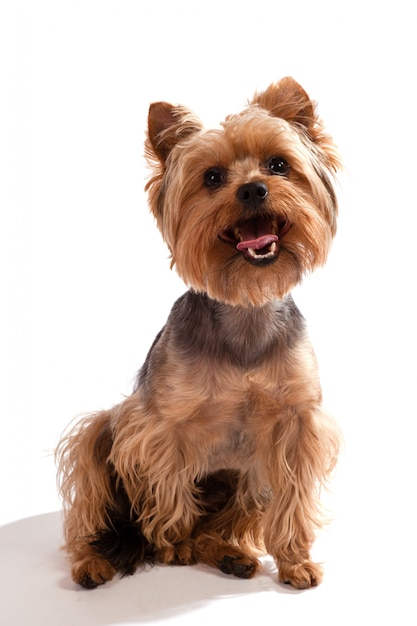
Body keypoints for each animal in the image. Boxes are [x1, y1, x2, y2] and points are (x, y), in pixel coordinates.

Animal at [56, 75, 342, 588]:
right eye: (212, 178)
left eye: (278, 164)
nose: (252, 190)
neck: (245, 307)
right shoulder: (159, 424)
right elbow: (170, 488)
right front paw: (174, 546)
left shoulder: (296, 423)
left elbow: (292, 496)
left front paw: (295, 560)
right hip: (100, 434)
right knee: (94, 511)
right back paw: (99, 561)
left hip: (245, 481)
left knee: (230, 518)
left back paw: (229, 552)